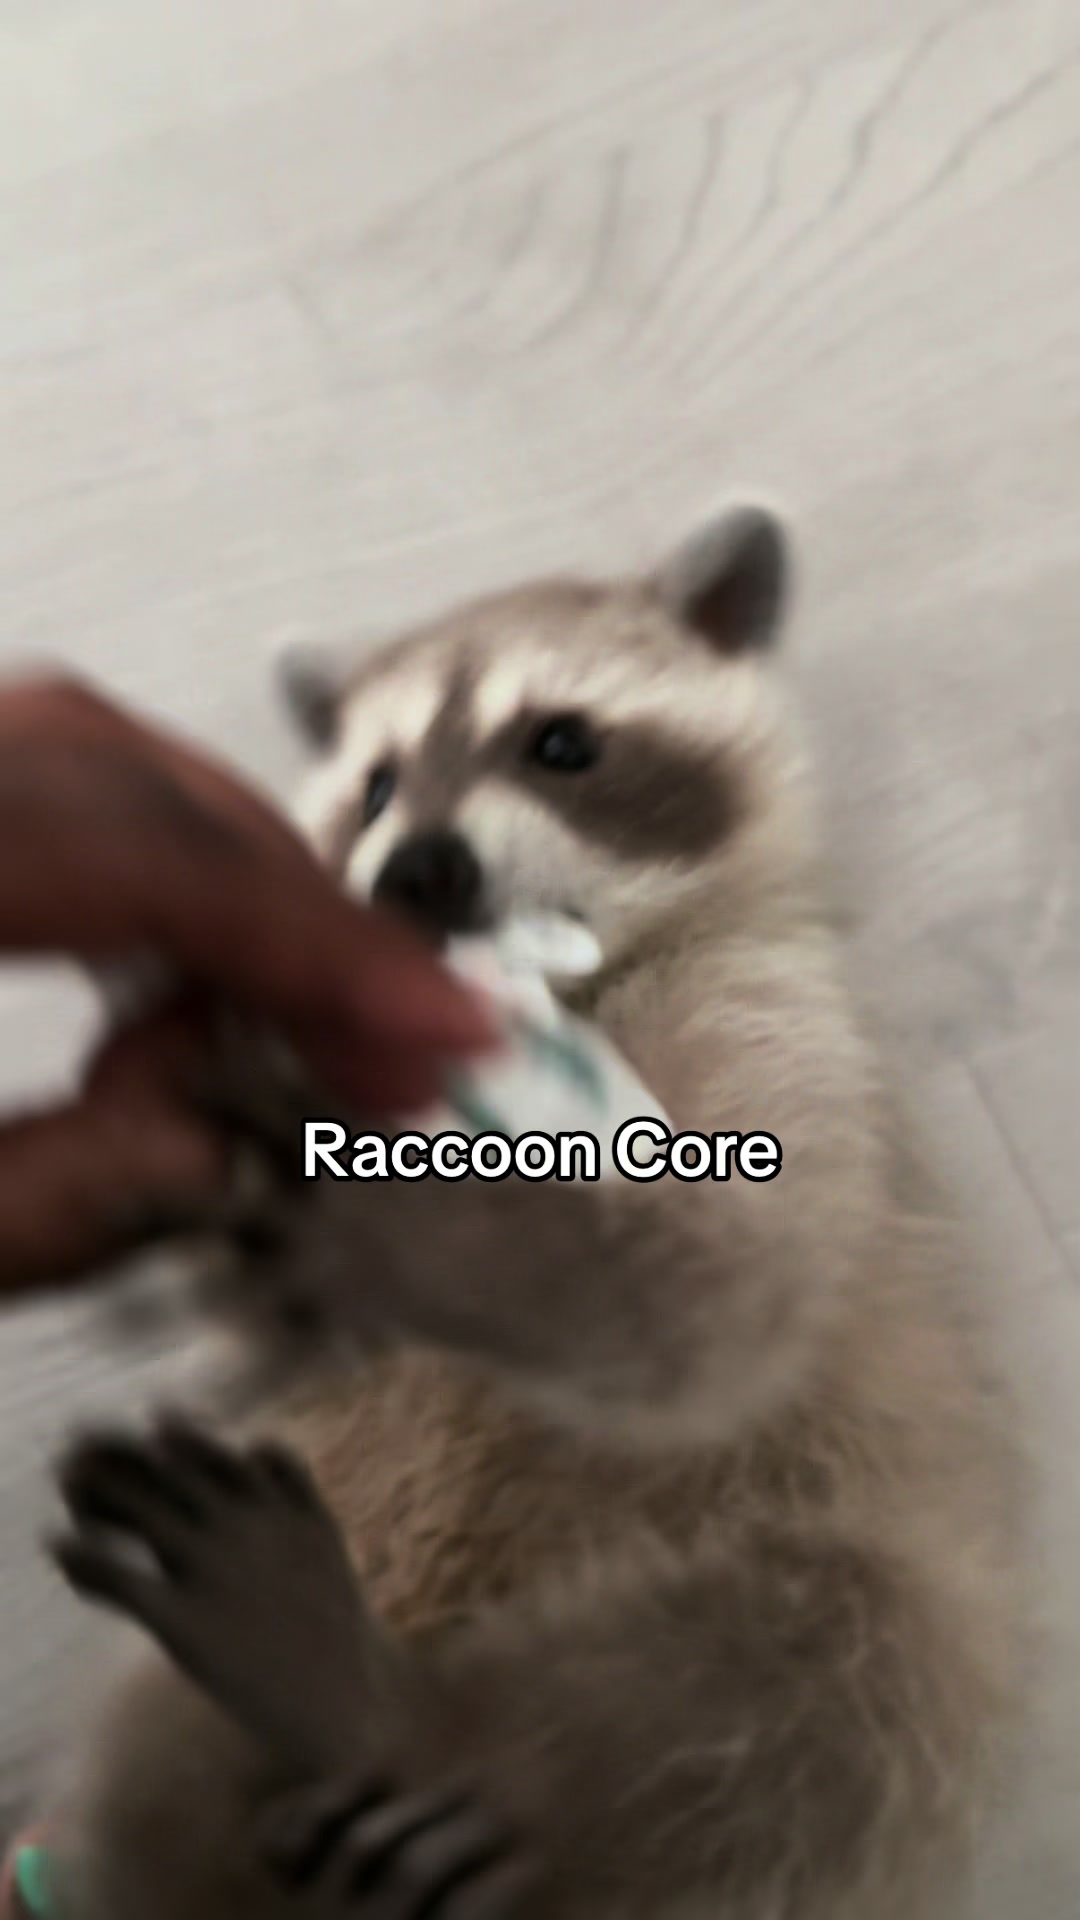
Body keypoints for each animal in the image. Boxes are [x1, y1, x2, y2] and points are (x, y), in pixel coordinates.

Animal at [47, 507, 1026, 1920]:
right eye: (378, 786)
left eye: (559, 742)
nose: (418, 872)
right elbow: (291, 1334)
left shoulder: (780, 1024)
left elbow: (711, 1299)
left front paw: (421, 1224)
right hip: (209, 1722)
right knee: (154, 1774)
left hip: (864, 1565)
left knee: (818, 1677)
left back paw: (379, 1704)